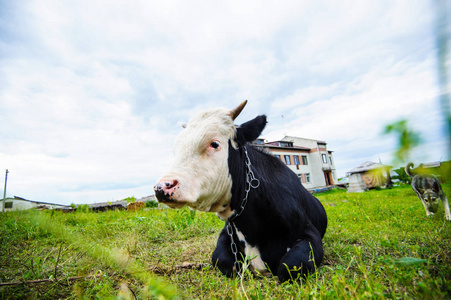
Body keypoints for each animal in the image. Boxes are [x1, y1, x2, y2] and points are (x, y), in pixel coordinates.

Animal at [155, 101, 328, 282]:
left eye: (214, 144)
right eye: (176, 149)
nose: (162, 187)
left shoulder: (308, 232)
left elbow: (290, 266)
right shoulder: (226, 234)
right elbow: (222, 260)